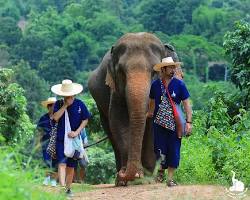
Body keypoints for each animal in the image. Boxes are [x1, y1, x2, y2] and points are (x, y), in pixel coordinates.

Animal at [88, 32, 178, 185]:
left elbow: (154, 126)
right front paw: (133, 177)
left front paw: (147, 178)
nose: (122, 174)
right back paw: (119, 180)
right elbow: (118, 120)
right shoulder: (116, 91)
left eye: (155, 72)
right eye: (122, 72)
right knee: (110, 131)